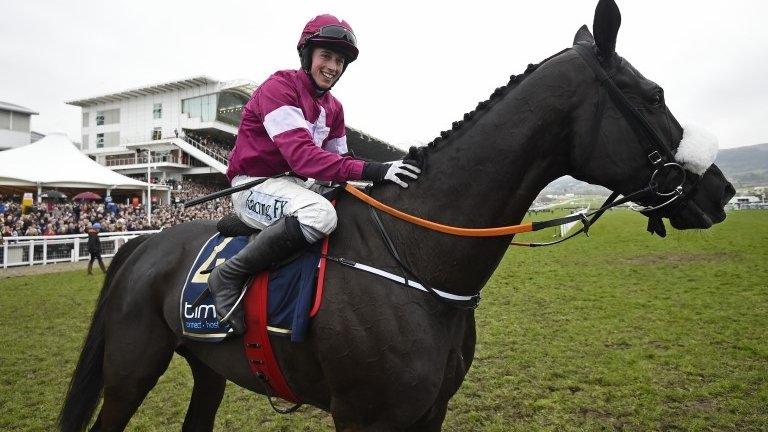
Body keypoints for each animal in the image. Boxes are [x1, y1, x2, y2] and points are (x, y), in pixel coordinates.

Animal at [58, 1, 732, 430]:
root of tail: (143, 244)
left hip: (207, 367)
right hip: (130, 371)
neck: (418, 263)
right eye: (654, 96)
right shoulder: (364, 417)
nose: (721, 190)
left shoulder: (429, 410)